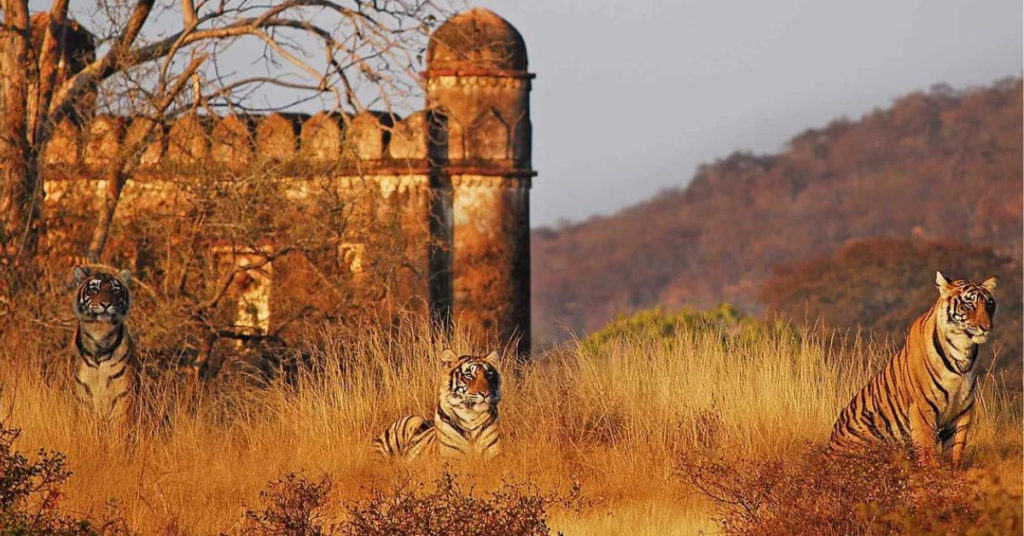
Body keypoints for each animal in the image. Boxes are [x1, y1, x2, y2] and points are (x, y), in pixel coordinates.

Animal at [71, 266, 139, 430]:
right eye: (94, 289)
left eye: (115, 290)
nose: (106, 304)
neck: (100, 333)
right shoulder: (82, 392)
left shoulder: (123, 393)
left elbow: (119, 426)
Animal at [827, 272, 995, 465]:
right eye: (968, 304)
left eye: (989, 305)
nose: (986, 328)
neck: (962, 351)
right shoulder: (922, 408)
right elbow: (928, 450)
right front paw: (933, 471)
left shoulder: (962, 410)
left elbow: (956, 448)